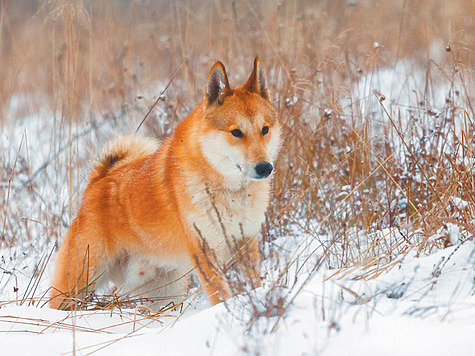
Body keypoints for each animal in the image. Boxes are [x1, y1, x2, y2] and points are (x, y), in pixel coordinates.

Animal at [51, 57, 282, 308]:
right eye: (236, 132)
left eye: (265, 130)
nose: (264, 168)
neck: (228, 191)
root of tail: (97, 182)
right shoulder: (205, 253)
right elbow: (221, 295)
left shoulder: (246, 243)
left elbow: (252, 284)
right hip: (77, 284)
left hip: (165, 291)